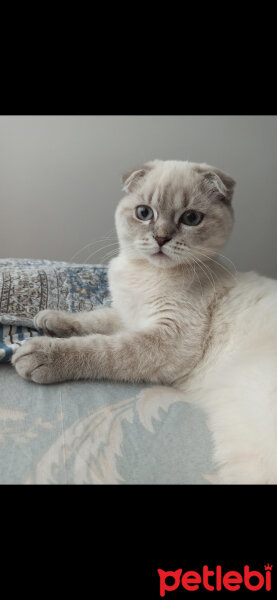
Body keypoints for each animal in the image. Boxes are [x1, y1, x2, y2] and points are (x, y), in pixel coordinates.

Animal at [12, 159, 277, 482]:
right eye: (144, 213)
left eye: (191, 218)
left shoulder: (167, 339)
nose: (161, 238)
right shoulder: (129, 314)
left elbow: (102, 347)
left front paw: (40, 353)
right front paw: (50, 318)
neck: (145, 274)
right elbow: (93, 319)